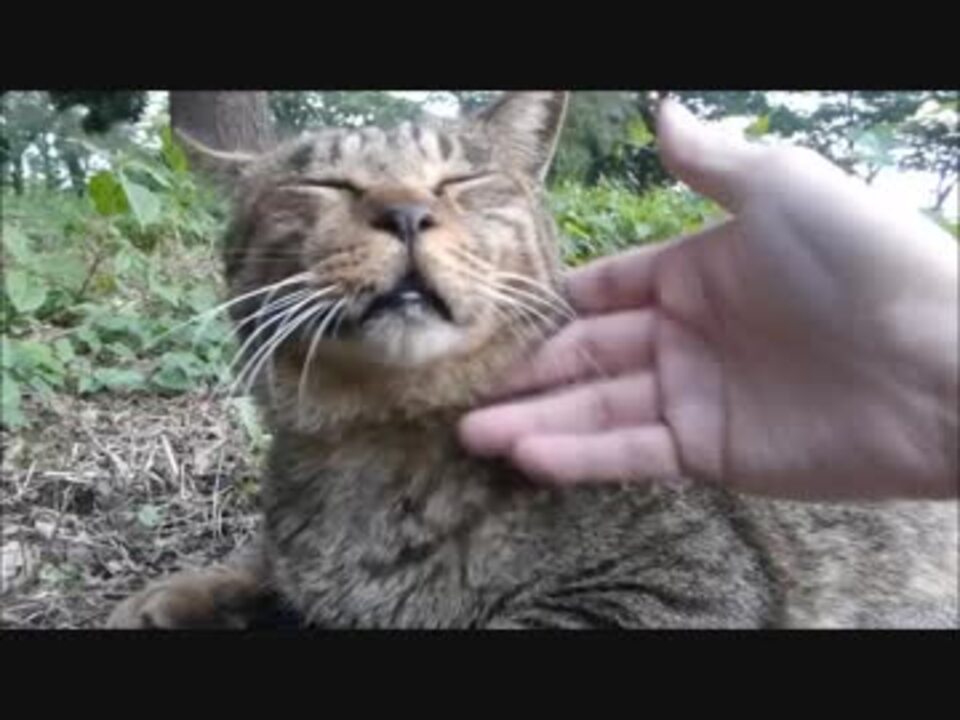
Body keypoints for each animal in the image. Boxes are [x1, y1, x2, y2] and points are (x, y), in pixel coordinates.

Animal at [107, 92, 958, 629]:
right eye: (323, 184)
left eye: (461, 179)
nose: (406, 211)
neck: (381, 448)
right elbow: (266, 568)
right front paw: (183, 593)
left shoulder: (686, 581)